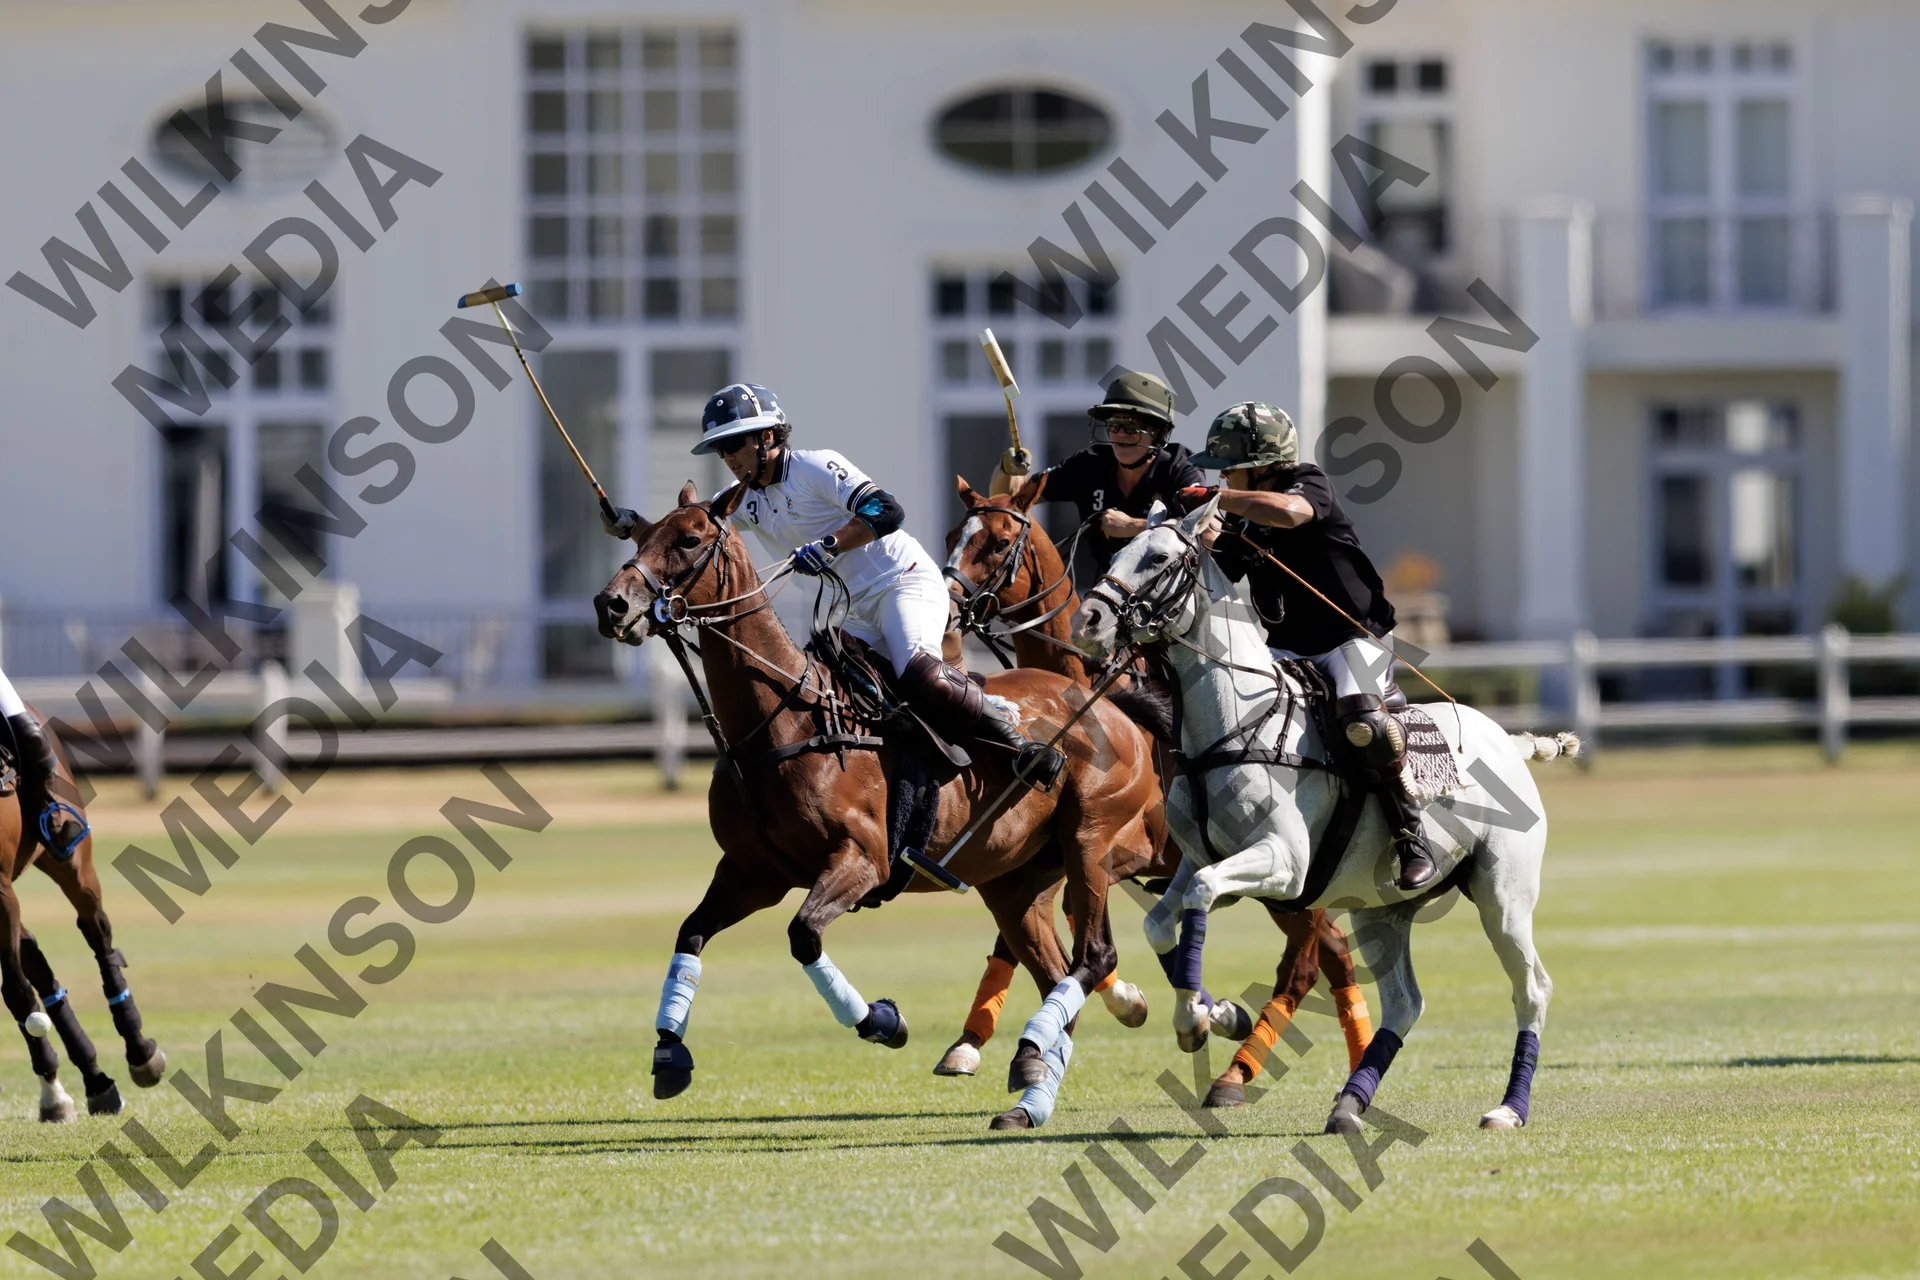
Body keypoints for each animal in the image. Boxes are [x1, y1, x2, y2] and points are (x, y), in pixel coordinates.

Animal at [1, 709, 166, 1122]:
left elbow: (16, 991)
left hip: (71, 862)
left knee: (98, 937)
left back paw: (138, 1053)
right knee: (38, 965)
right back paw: (90, 1082)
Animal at [593, 482, 1163, 1130]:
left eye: (688, 539)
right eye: (641, 536)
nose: (611, 604)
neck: (785, 720)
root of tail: (1113, 704)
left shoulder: (864, 859)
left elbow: (804, 935)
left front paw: (884, 1021)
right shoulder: (752, 872)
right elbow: (690, 933)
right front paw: (669, 1052)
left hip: (1090, 838)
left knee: (1095, 950)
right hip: (1013, 880)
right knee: (1056, 971)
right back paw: (1034, 1082)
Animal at [941, 479, 1375, 1098]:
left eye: (1000, 543)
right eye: (955, 536)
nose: (948, 609)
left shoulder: (1131, 850)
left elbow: (1078, 925)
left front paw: (1154, 1005)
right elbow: (1036, 931)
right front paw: (972, 1045)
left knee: (1308, 961)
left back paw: (1242, 1070)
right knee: (1334, 951)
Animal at [1072, 496, 1573, 1133]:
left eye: (1158, 558)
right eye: (1116, 552)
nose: (1087, 622)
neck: (1235, 722)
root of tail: (1511, 740)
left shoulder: (1284, 864)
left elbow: (1203, 894)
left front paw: (1193, 1022)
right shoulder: (1198, 860)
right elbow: (1165, 919)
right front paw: (1212, 1015)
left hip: (1503, 895)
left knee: (1532, 987)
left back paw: (1508, 1108)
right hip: (1381, 912)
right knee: (1405, 1002)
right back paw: (1349, 1104)